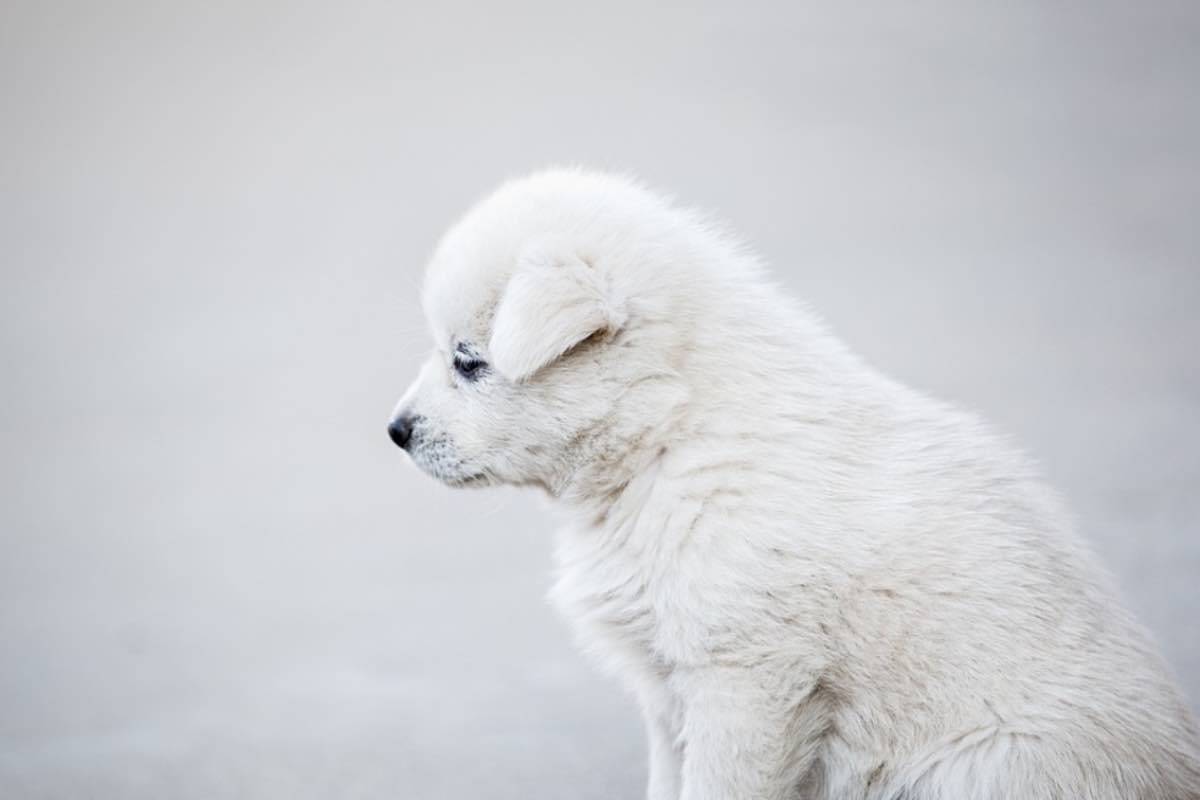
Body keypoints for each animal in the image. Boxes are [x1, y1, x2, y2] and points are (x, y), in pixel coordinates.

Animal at [388, 170, 1195, 800]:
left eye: (468, 360)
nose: (395, 431)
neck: (671, 437)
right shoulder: (669, 691)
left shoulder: (746, 679)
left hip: (982, 765)